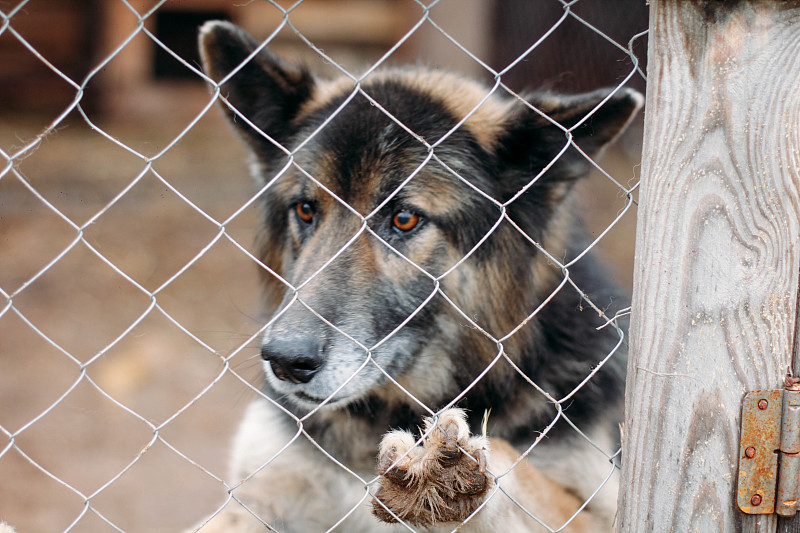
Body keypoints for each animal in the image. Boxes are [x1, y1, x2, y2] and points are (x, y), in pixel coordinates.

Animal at [195, 18, 644, 528]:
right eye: (306, 209)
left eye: (405, 219)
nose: (286, 361)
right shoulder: (258, 495)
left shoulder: (599, 509)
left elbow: (508, 456)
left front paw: (448, 464)